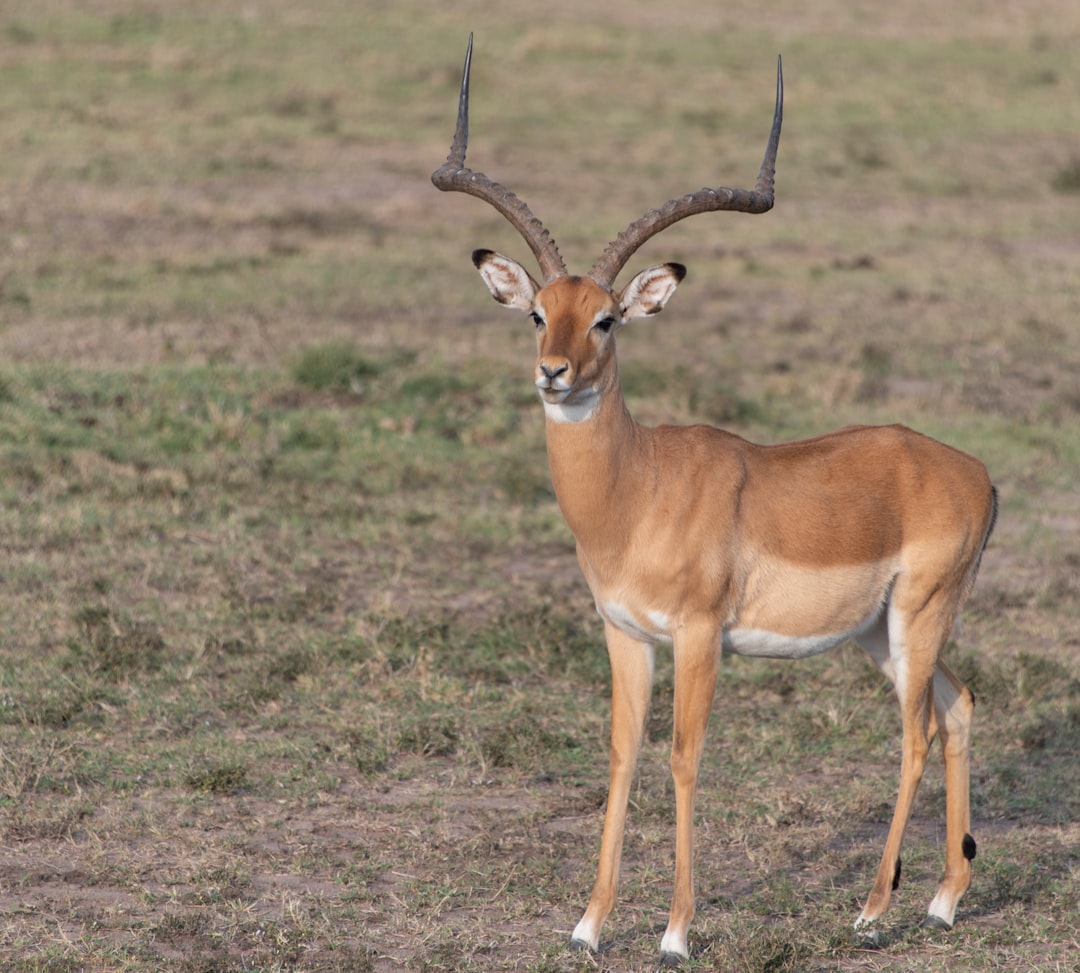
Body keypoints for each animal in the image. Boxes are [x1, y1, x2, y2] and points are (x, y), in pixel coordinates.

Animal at [429, 34, 993, 958]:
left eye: (609, 318)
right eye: (538, 312)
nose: (554, 373)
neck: (636, 492)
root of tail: (974, 469)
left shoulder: (699, 637)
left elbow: (684, 757)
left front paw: (675, 933)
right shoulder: (625, 634)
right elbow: (622, 755)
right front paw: (588, 925)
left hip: (918, 616)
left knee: (914, 732)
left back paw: (874, 910)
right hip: (881, 632)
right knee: (959, 705)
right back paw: (943, 900)